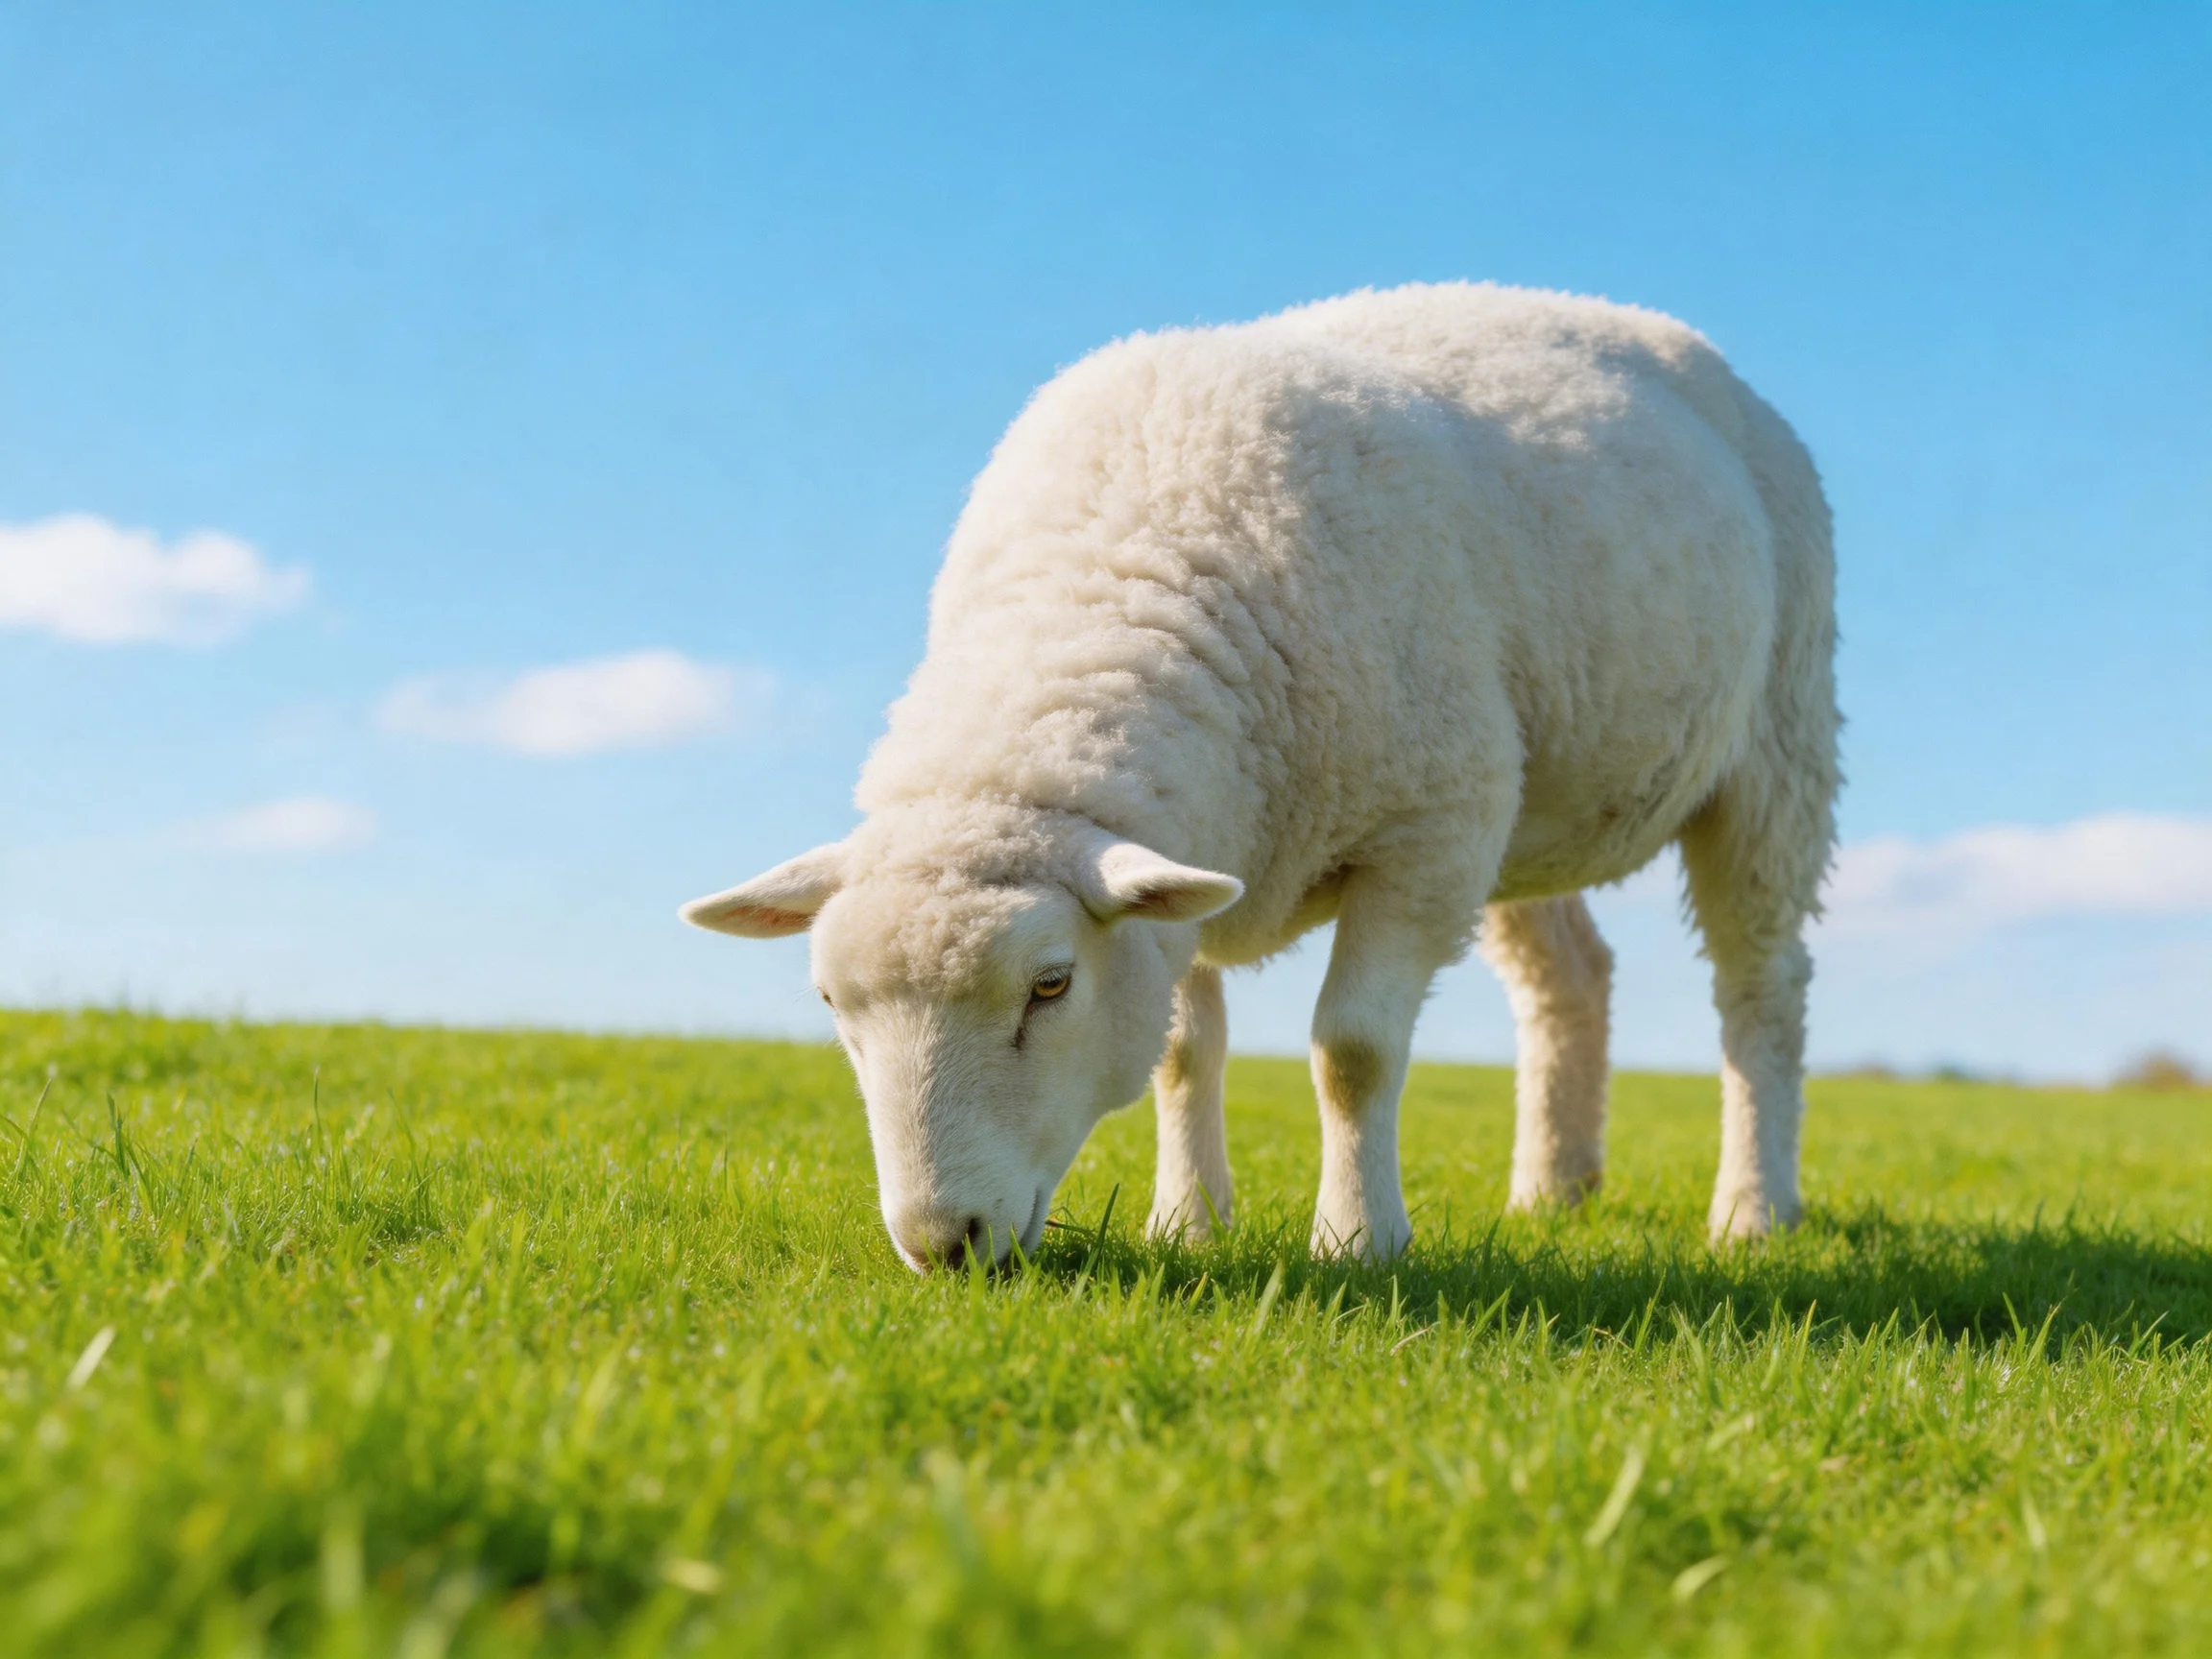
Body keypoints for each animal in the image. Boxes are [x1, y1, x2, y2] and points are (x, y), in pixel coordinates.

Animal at [684, 281, 1839, 1269]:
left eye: (1050, 985)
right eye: (830, 1000)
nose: (942, 1244)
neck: (1112, 579)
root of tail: (1657, 330)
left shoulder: (1425, 831)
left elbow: (1353, 1050)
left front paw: (1360, 1240)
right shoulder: (1191, 851)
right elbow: (1184, 1052)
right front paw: (1187, 1223)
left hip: (1776, 742)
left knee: (1762, 988)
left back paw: (1754, 1210)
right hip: (1526, 794)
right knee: (1571, 976)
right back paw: (1553, 1189)